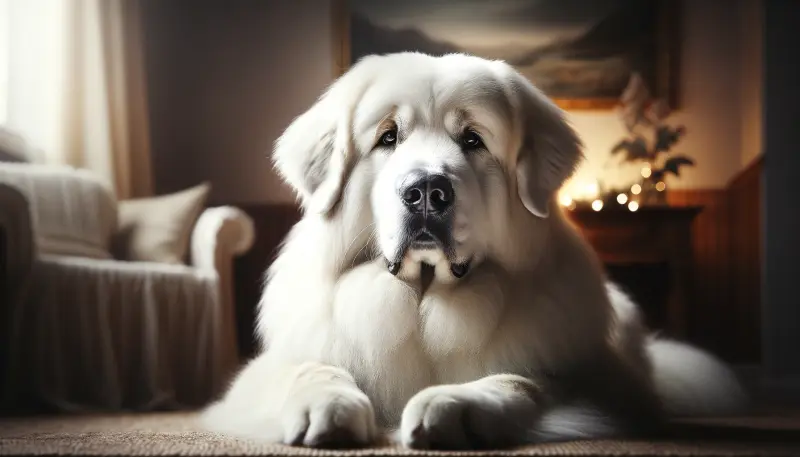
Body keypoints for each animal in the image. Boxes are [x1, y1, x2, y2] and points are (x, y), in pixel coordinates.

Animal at [202, 51, 752, 448]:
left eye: (472, 140)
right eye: (388, 138)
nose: (426, 190)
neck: (424, 298)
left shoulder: (587, 378)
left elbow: (520, 380)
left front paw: (451, 407)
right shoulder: (279, 365)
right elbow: (312, 368)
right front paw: (327, 407)